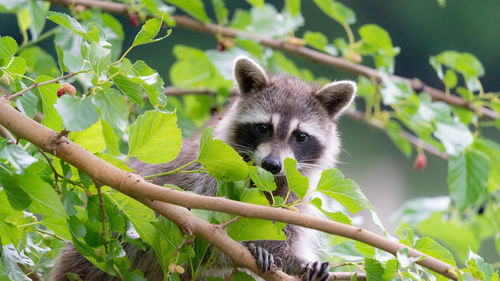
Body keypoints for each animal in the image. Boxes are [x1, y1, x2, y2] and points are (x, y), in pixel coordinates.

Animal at [49, 57, 356, 280]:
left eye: (300, 136)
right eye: (262, 127)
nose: (272, 165)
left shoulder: (292, 195)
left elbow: (284, 231)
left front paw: (296, 261)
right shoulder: (211, 176)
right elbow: (203, 235)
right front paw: (249, 247)